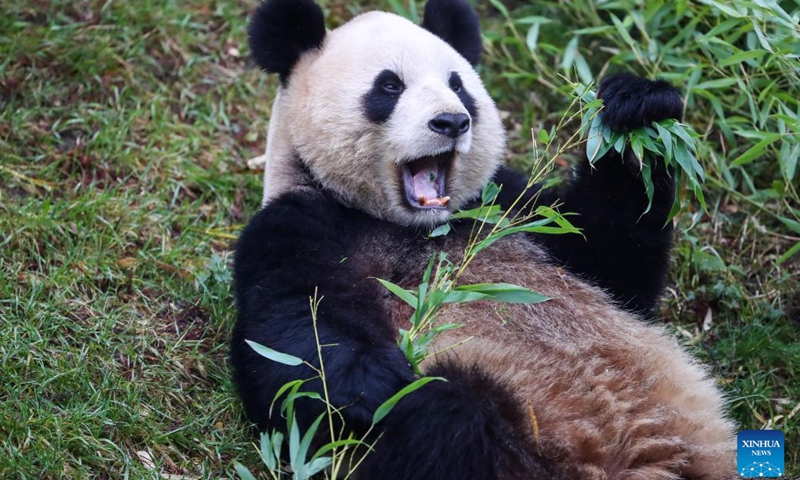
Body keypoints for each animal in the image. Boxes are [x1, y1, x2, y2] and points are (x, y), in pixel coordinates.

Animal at [230, 0, 736, 478]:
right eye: (389, 86)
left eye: (458, 86)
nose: (451, 122)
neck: (415, 225)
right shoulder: (299, 222)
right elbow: (290, 334)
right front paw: (379, 384)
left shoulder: (508, 208)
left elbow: (614, 264)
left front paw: (638, 114)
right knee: (450, 421)